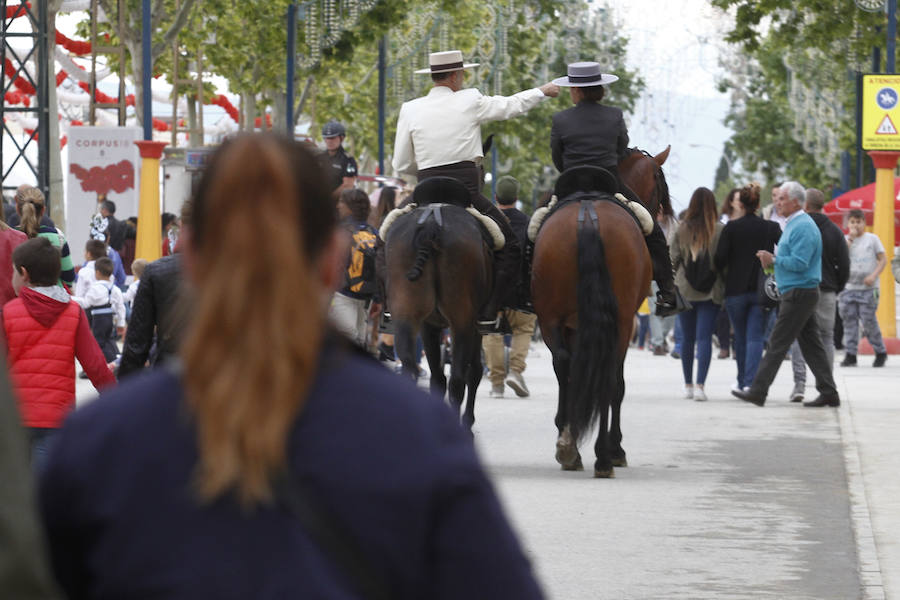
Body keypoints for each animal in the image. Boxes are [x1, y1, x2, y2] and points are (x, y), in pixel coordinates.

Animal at [380, 176, 492, 428]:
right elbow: (472, 372)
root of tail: (431, 223)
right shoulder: (473, 326)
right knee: (458, 379)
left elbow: (437, 378)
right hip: (462, 321)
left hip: (406, 315)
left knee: (411, 367)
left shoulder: (428, 324)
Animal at [536, 150, 668, 478]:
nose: (661, 214)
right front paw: (615, 448)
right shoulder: (624, 323)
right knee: (607, 376)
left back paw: (569, 446)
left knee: (563, 364)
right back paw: (603, 457)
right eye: (659, 184)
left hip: (550, 318)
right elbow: (616, 385)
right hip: (617, 323)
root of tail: (587, 214)